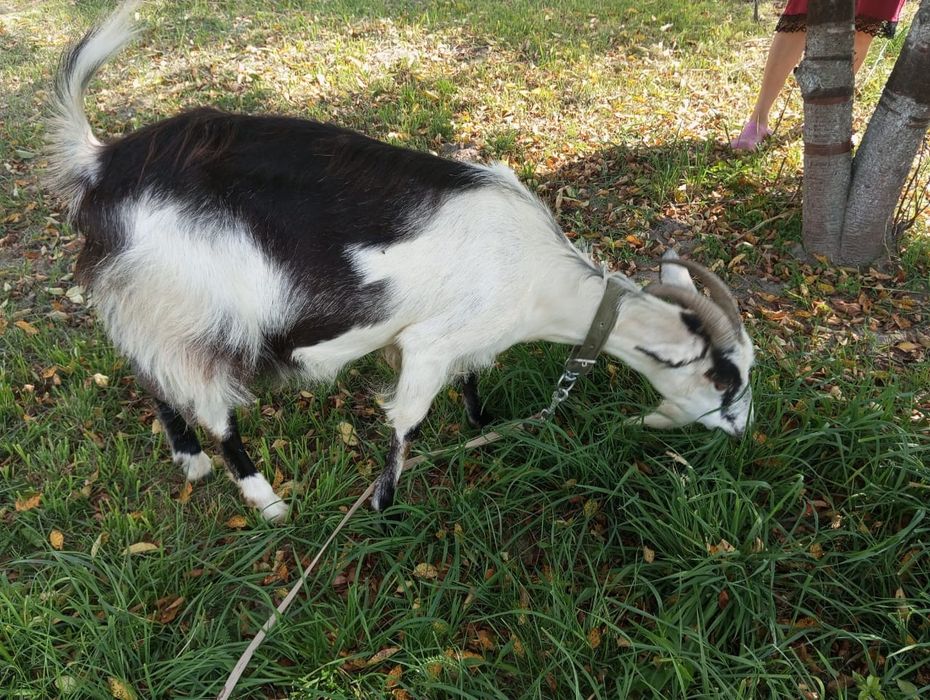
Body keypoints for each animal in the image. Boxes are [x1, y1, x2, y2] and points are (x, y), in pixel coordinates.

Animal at [47, 2, 755, 522]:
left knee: (148, 370)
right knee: (214, 408)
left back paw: (188, 459)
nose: (744, 433)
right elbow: (406, 423)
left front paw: (484, 425)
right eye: (727, 380)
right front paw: (384, 505)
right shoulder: (430, 345)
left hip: (151, 303)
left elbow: (471, 383)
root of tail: (101, 165)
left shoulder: (454, 341)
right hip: (196, 312)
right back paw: (267, 500)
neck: (543, 282)